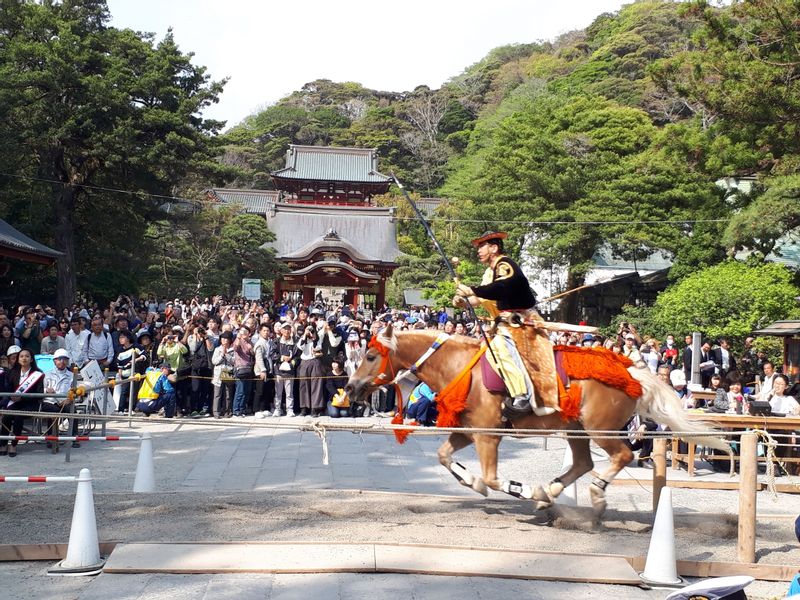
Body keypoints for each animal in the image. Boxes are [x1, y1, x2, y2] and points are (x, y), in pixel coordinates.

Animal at [344, 326, 732, 516]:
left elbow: (493, 478)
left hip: (598, 426)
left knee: (619, 456)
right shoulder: (469, 430)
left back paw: (591, 493)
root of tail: (630, 370)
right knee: (583, 462)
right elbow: (443, 456)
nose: (350, 386)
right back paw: (551, 493)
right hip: (575, 428)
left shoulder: (488, 434)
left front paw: (519, 489)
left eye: (371, 355)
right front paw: (472, 482)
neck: (459, 367)